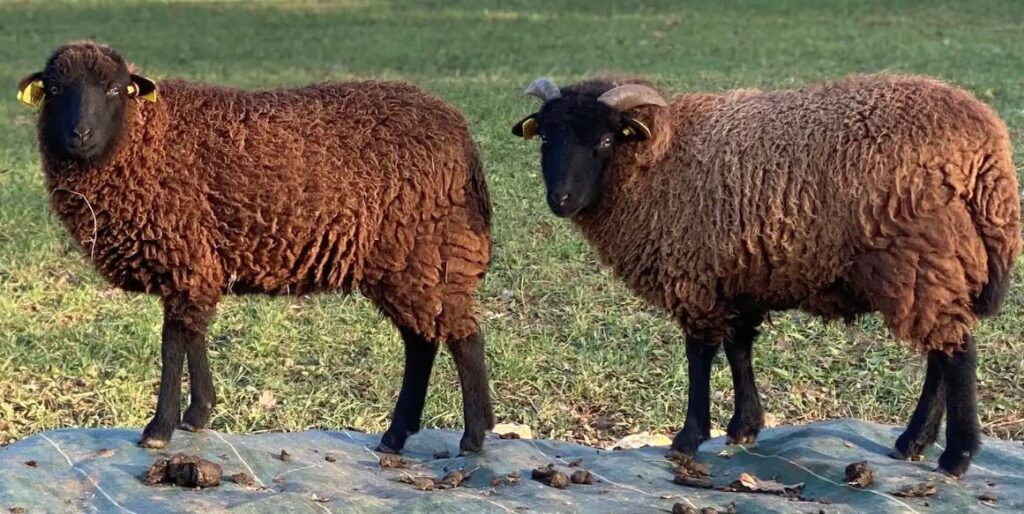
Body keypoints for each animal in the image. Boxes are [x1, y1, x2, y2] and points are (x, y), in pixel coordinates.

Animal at [16, 42, 495, 456]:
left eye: (115, 89)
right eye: (54, 90)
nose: (80, 134)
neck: (145, 136)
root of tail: (460, 134)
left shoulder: (184, 256)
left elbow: (172, 344)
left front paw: (159, 428)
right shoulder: (197, 262)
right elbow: (193, 336)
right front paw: (198, 413)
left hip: (429, 248)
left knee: (464, 338)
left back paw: (473, 436)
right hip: (406, 261)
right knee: (423, 342)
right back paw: (397, 435)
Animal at [516, 74, 1019, 475]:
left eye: (604, 141)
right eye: (545, 139)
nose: (560, 200)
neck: (660, 164)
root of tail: (988, 148)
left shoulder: (695, 276)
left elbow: (699, 356)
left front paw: (688, 438)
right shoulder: (738, 276)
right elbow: (739, 349)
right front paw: (744, 427)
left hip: (921, 257)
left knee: (958, 353)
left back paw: (956, 455)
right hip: (937, 266)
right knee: (942, 351)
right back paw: (913, 442)